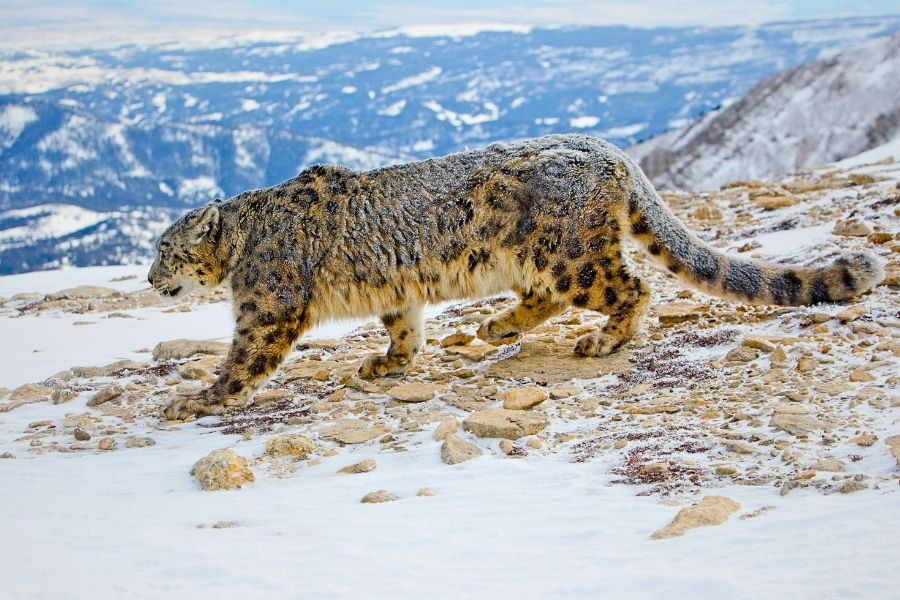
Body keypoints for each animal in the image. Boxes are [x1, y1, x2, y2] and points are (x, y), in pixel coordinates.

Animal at [148, 134, 884, 420]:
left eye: (165, 248)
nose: (151, 280)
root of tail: (606, 148)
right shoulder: (397, 294)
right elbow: (404, 328)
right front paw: (386, 363)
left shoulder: (266, 306)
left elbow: (243, 358)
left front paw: (197, 399)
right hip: (540, 259)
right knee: (545, 297)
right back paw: (496, 324)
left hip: (569, 254)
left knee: (629, 287)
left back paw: (602, 339)